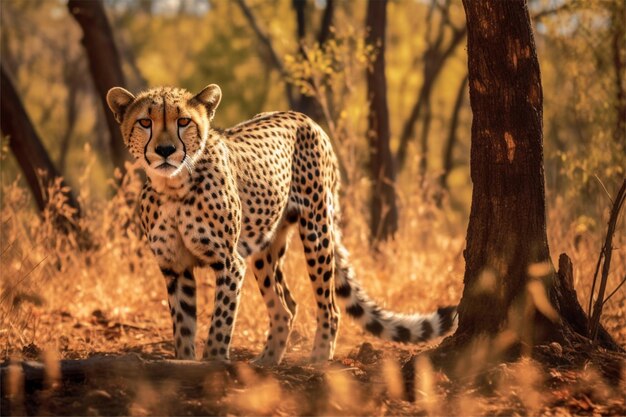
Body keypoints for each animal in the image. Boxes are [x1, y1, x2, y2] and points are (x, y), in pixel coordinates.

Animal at [107, 84, 456, 364]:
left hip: (316, 229)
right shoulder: (175, 268)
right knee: (286, 307)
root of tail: (305, 118)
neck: (173, 187)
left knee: (329, 306)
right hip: (265, 247)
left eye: (184, 122)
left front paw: (215, 362)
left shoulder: (229, 262)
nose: (165, 150)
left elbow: (220, 321)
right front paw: (186, 362)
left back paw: (318, 359)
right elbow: (183, 328)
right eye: (145, 122)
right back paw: (267, 361)